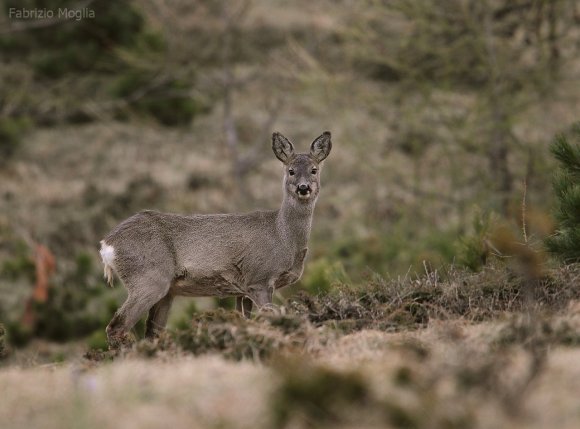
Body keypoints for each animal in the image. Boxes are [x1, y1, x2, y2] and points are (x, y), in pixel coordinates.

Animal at [98, 130, 330, 348]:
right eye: (290, 170)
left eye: (314, 169)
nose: (303, 188)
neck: (283, 236)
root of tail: (107, 244)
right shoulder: (259, 278)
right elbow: (271, 315)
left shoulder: (243, 289)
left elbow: (246, 320)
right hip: (148, 278)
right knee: (117, 326)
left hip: (166, 291)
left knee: (151, 333)